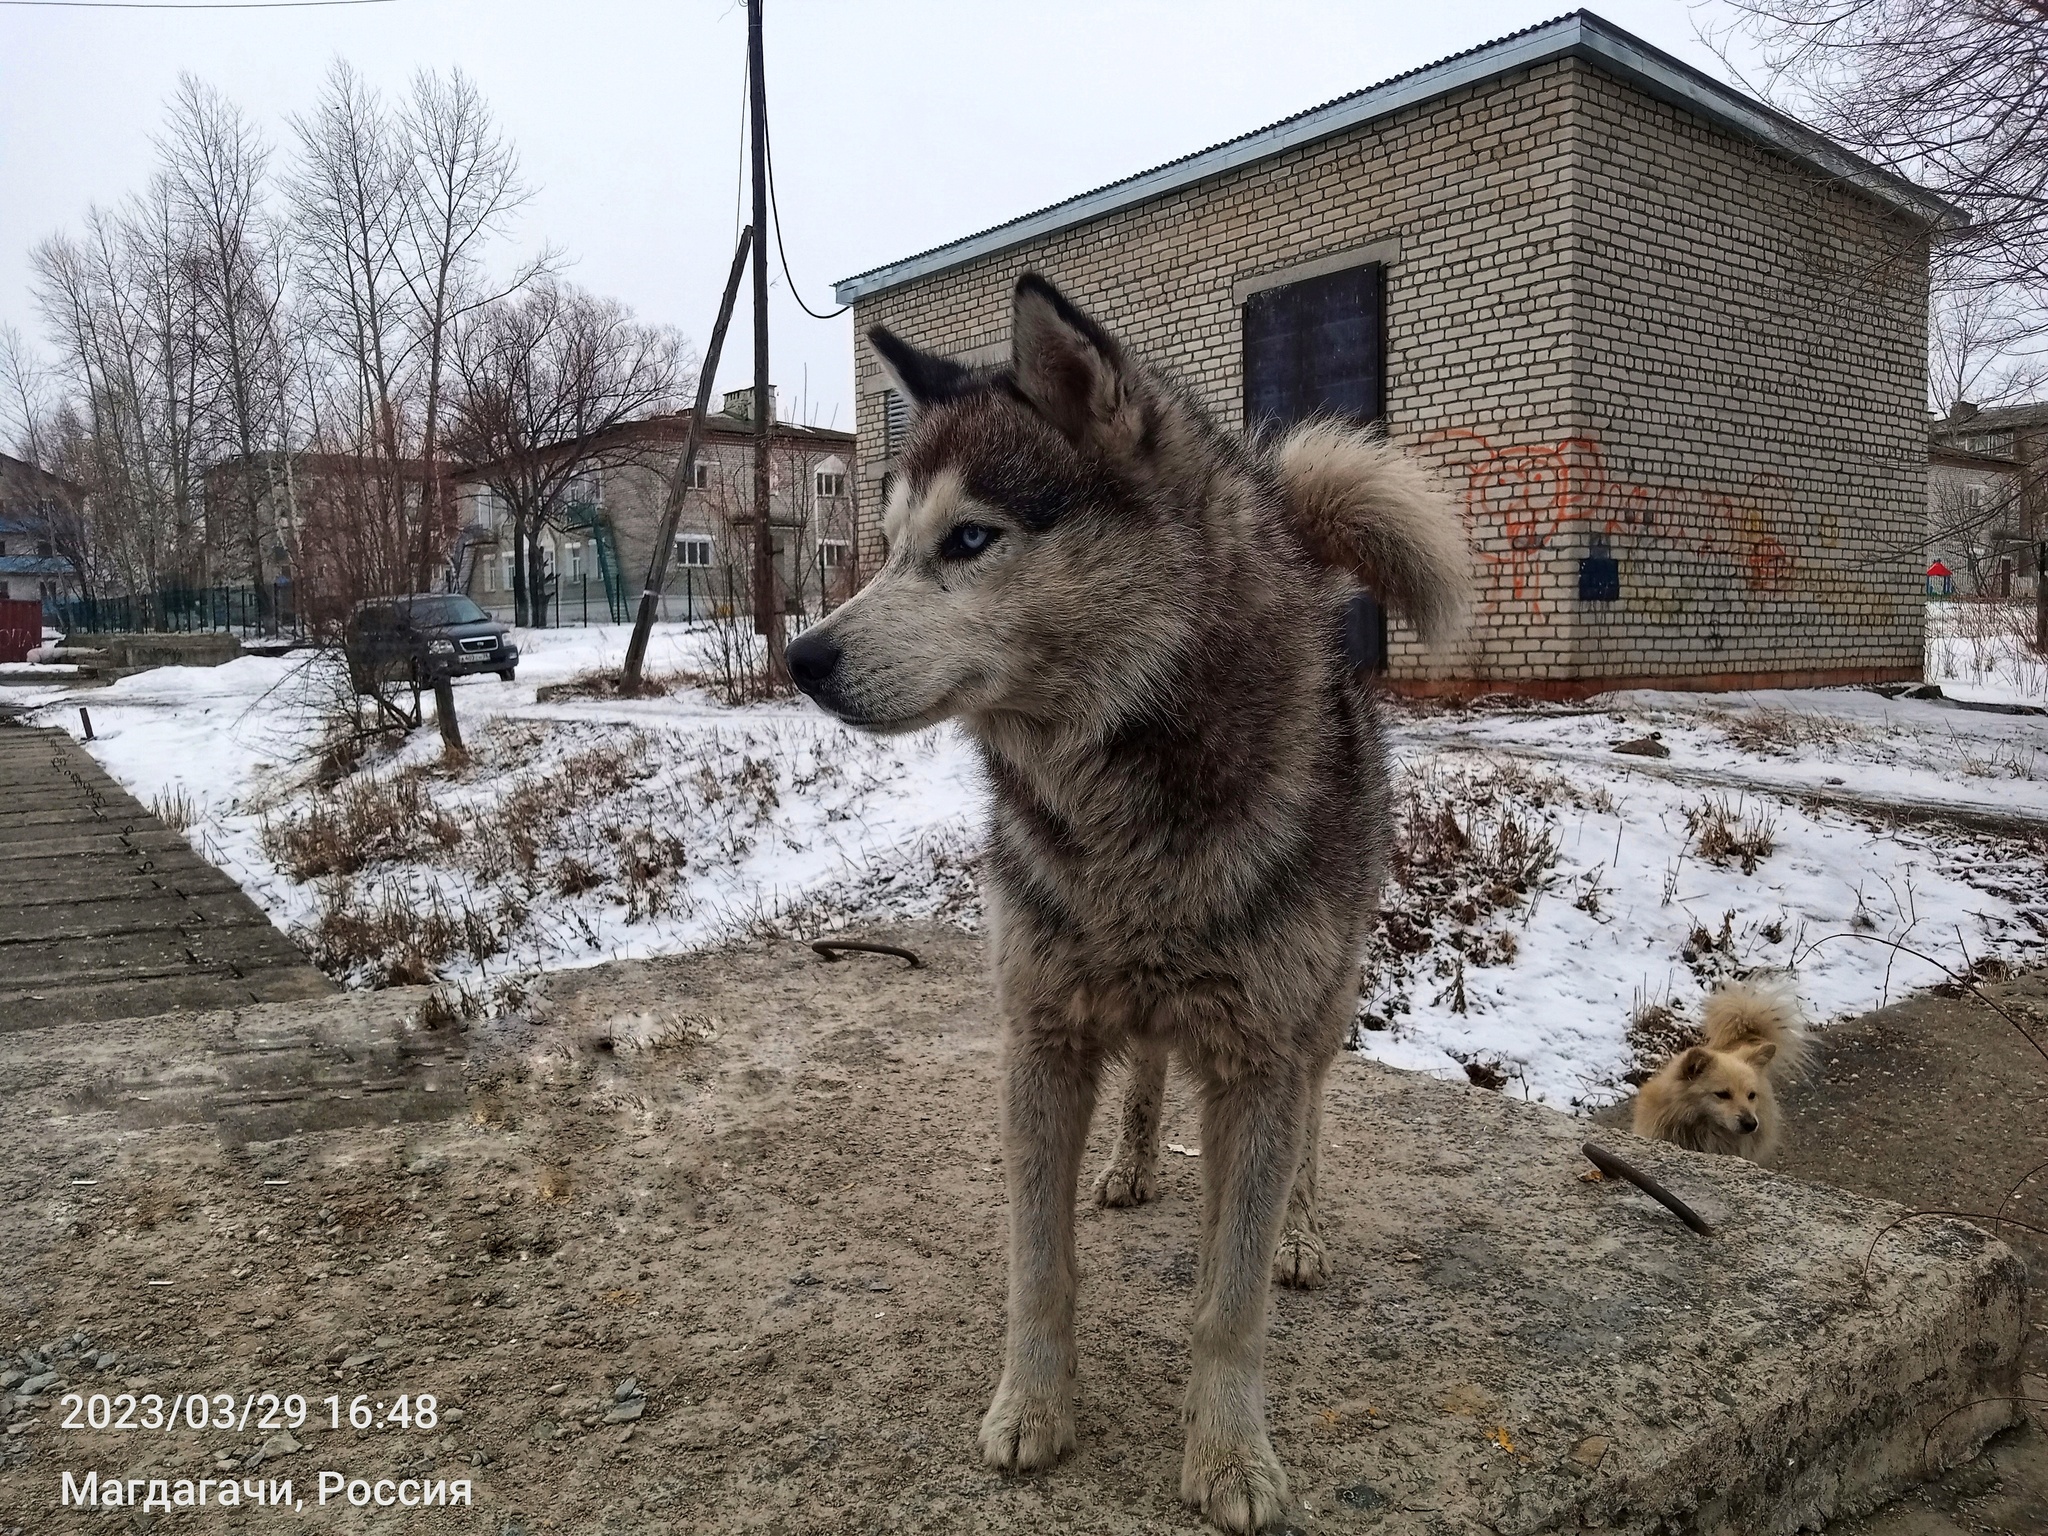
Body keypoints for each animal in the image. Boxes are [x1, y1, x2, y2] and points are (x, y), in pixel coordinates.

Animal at [782, 280, 1474, 1536]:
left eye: (969, 539)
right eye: (891, 545)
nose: (800, 657)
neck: (1122, 811)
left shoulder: (1256, 1058)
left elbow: (1228, 1300)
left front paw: (1228, 1455)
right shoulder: (1040, 1038)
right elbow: (1037, 1268)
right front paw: (1032, 1410)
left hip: (1321, 1010)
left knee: (1312, 1125)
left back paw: (1303, 1227)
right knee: (1147, 1067)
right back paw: (1132, 1161)